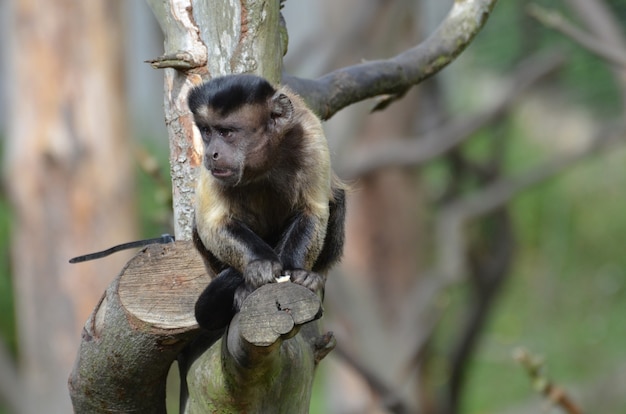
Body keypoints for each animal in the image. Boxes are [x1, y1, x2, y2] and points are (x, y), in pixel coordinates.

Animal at [188, 74, 344, 332]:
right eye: (207, 132)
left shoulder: (310, 136)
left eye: (226, 132)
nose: (211, 153)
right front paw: (261, 264)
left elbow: (313, 211)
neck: (262, 164)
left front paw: (297, 274)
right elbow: (211, 225)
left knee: (338, 199)